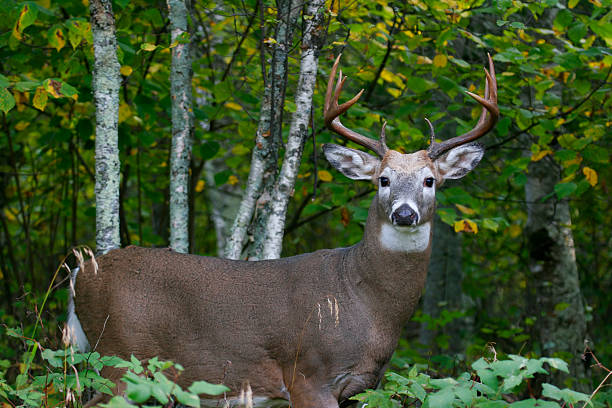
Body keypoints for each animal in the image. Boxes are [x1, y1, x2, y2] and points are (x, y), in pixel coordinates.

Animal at [68, 55, 498, 408]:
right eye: (383, 180)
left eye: (429, 180)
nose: (404, 213)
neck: (366, 301)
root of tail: (79, 274)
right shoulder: (307, 374)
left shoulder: (358, 387)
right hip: (123, 356)